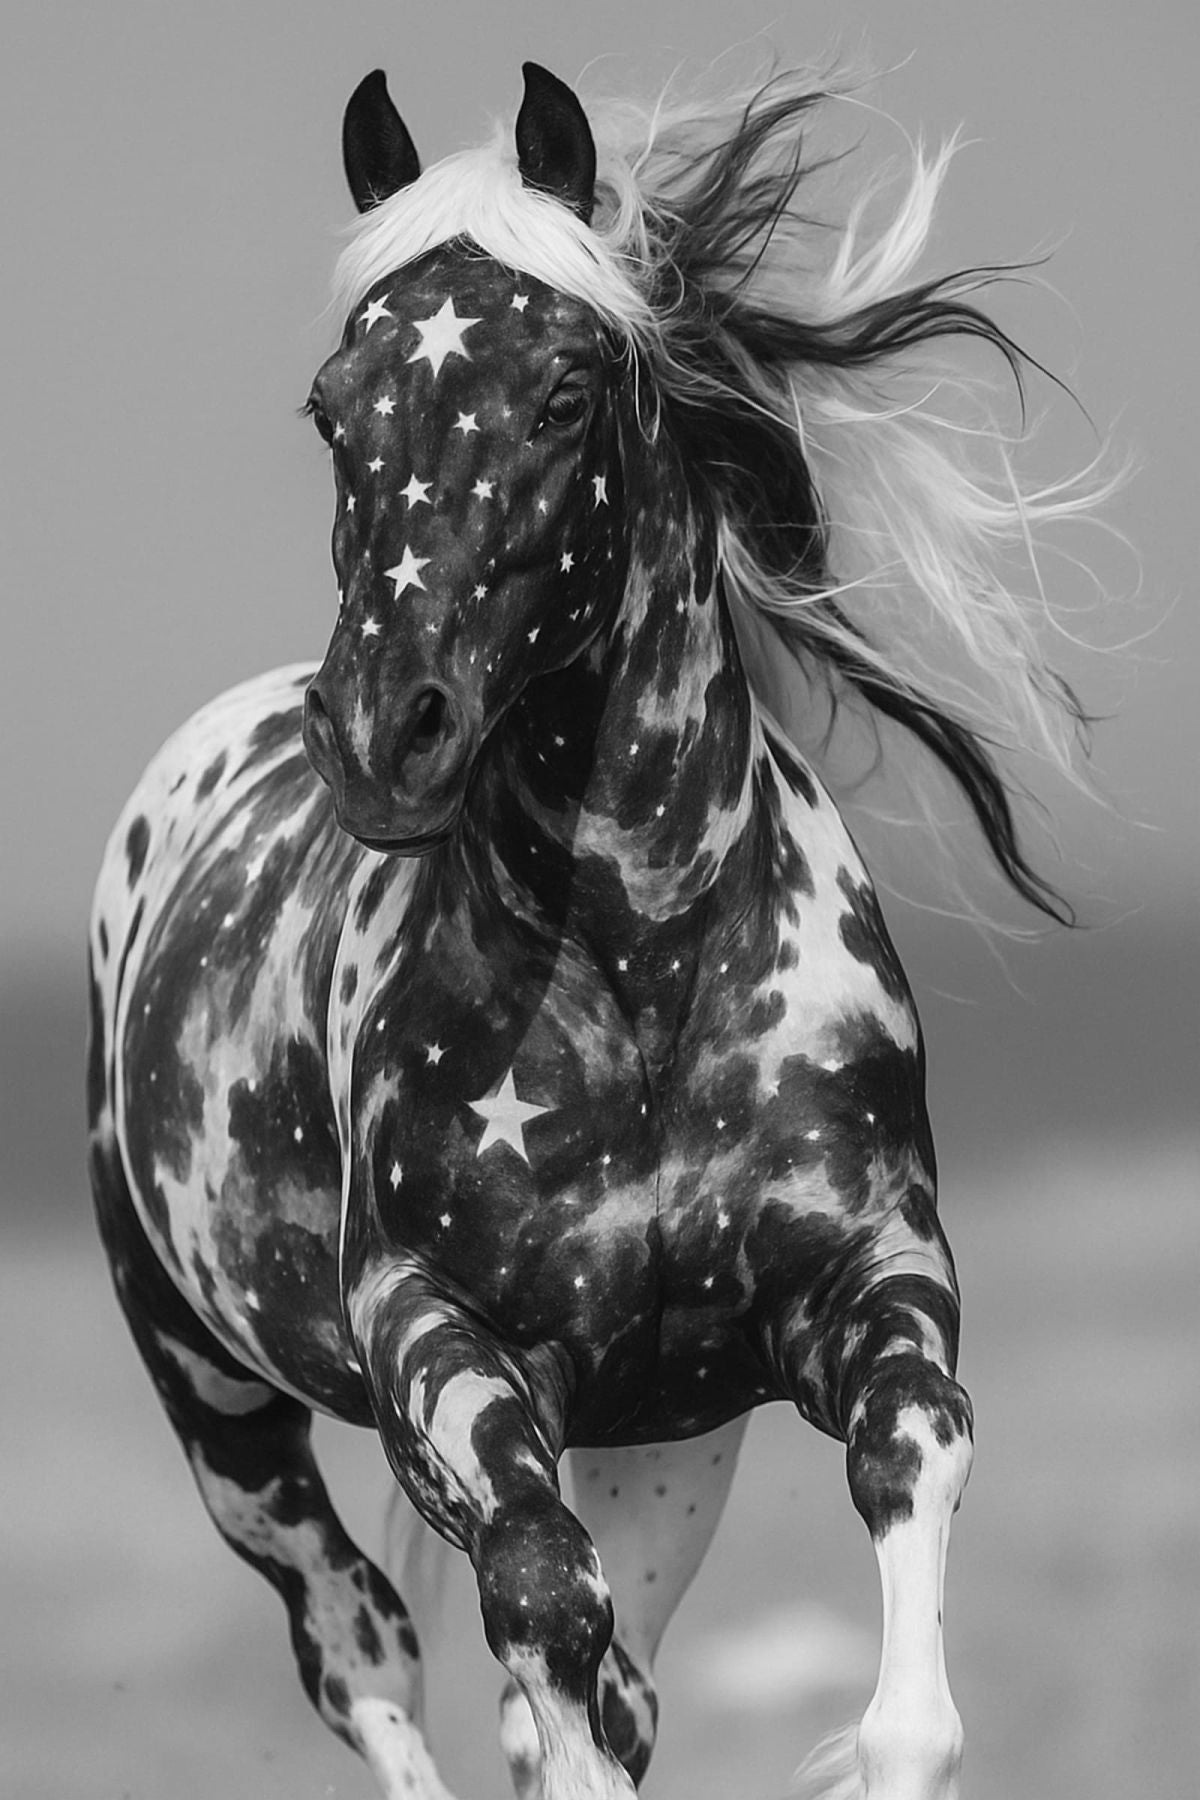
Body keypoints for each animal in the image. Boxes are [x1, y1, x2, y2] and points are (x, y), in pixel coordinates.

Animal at [87, 61, 1100, 1800]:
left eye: (564, 391)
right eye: (333, 409)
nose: (385, 733)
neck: (647, 978)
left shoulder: (873, 1282)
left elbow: (906, 1513)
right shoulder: (439, 1335)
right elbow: (539, 1606)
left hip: (662, 1455)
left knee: (592, 1673)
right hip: (221, 1410)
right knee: (370, 1646)